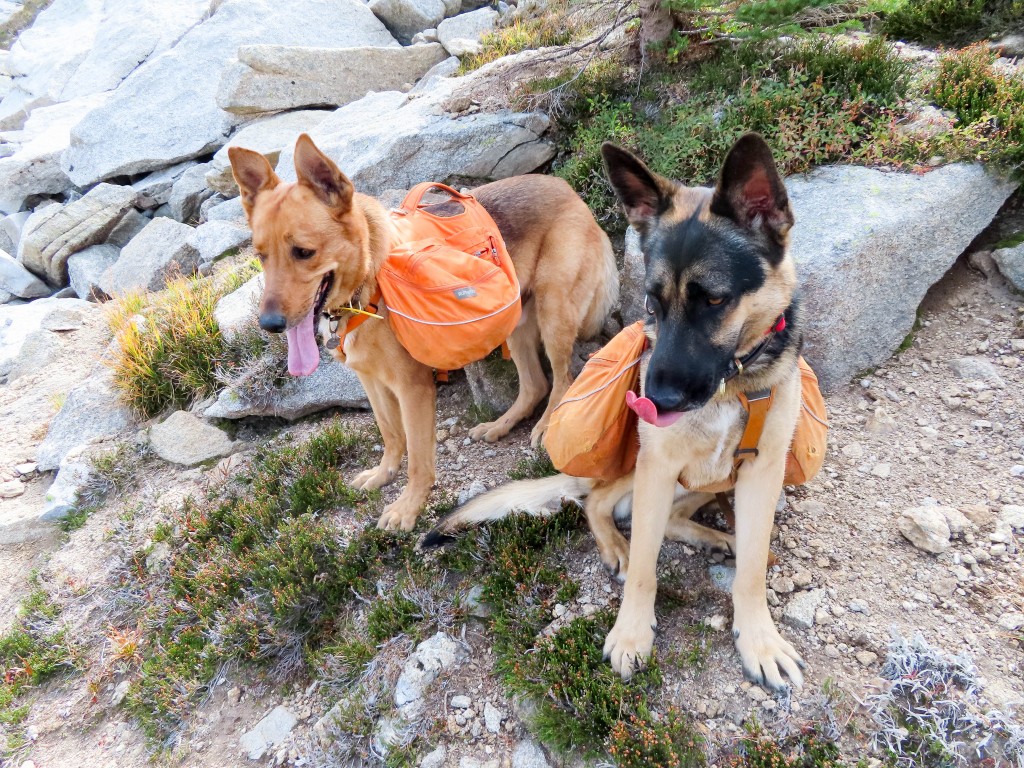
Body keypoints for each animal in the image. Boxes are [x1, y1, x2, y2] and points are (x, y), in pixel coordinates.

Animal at [230, 135, 614, 532]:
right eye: (261, 256)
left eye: (304, 252)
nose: (269, 324)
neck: (367, 281)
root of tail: (566, 188)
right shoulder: (371, 380)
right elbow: (390, 434)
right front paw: (383, 474)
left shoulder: (412, 387)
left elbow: (417, 457)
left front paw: (408, 507)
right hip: (515, 322)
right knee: (535, 383)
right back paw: (500, 425)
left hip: (553, 314)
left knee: (563, 378)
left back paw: (545, 425)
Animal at [425, 134, 806, 692]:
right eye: (652, 300)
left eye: (714, 300)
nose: (651, 401)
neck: (732, 385)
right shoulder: (657, 466)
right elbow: (646, 568)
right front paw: (631, 635)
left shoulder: (761, 471)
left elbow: (754, 569)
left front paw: (759, 639)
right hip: (636, 471)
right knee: (597, 503)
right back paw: (620, 545)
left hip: (715, 480)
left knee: (673, 520)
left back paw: (719, 539)